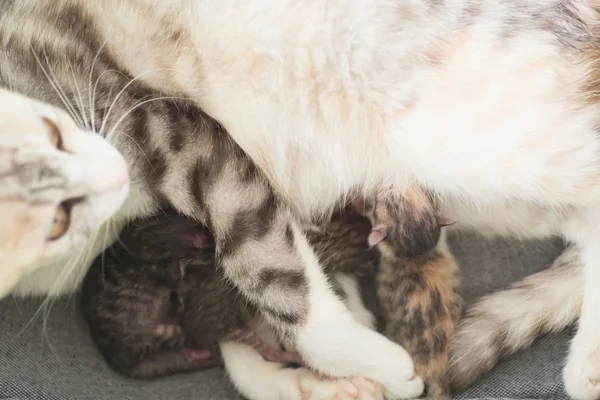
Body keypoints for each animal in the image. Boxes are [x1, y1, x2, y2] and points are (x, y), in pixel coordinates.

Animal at [2, 0, 596, 398]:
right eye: (56, 222)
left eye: (54, 132)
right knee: (579, 227)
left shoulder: (174, 131)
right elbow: (229, 336)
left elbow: (268, 271)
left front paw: (372, 360)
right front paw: (323, 379)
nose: (118, 173)